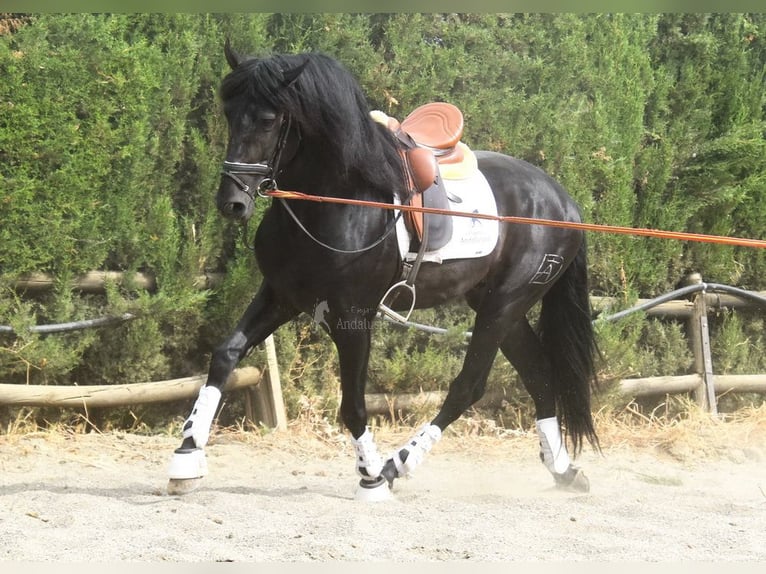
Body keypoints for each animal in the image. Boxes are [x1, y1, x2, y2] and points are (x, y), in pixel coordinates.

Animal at [166, 43, 600, 500]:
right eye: (229, 113)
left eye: (268, 120)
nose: (232, 202)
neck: (340, 201)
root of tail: (564, 202)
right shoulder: (281, 296)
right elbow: (226, 354)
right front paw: (187, 454)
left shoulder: (353, 315)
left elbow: (353, 403)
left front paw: (371, 476)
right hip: (501, 306)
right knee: (539, 374)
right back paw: (564, 470)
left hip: (504, 305)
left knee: (469, 385)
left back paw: (397, 465)